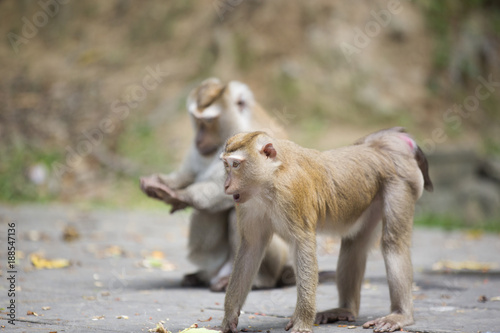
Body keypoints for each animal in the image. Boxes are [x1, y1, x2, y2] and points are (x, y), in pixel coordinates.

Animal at [139, 77, 292, 290]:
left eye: (209, 121)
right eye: (196, 119)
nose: (199, 138)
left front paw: (181, 196)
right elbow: (188, 174)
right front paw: (161, 182)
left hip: (279, 258)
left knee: (239, 212)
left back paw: (255, 280)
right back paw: (202, 276)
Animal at [220, 127, 434, 332]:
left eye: (236, 165)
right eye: (226, 166)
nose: (226, 185)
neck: (270, 179)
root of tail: (379, 148)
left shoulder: (292, 193)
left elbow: (303, 244)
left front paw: (302, 322)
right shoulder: (249, 204)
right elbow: (252, 247)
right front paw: (229, 317)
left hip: (400, 183)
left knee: (393, 243)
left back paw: (400, 315)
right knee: (354, 245)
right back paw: (345, 310)